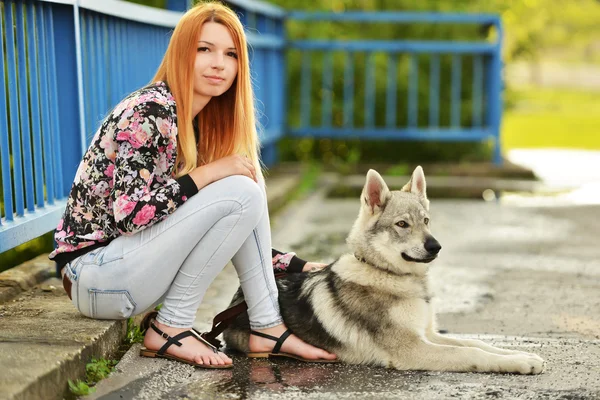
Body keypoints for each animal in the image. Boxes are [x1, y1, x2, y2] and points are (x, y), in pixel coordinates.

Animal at [223, 166, 548, 376]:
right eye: (402, 224)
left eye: (426, 221)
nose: (435, 246)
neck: (388, 275)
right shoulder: (412, 348)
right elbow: (470, 353)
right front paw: (519, 364)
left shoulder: (428, 334)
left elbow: (477, 343)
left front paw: (524, 356)